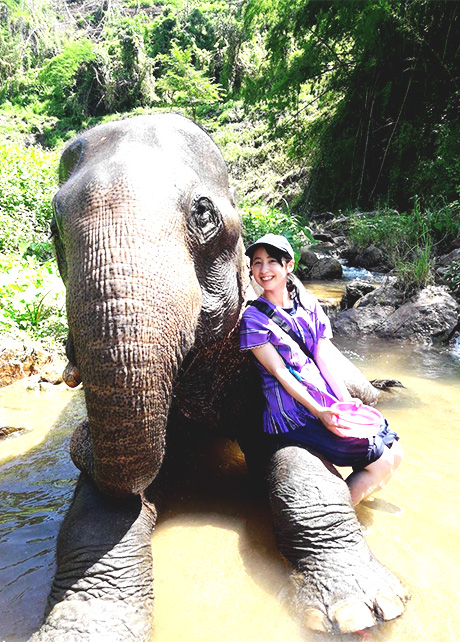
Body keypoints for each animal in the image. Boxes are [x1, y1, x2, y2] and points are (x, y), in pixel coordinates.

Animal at [31, 112, 406, 636]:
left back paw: (392, 391)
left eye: (204, 215)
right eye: (53, 229)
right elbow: (104, 506)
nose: (78, 439)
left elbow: (297, 457)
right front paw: (82, 630)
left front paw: (361, 610)